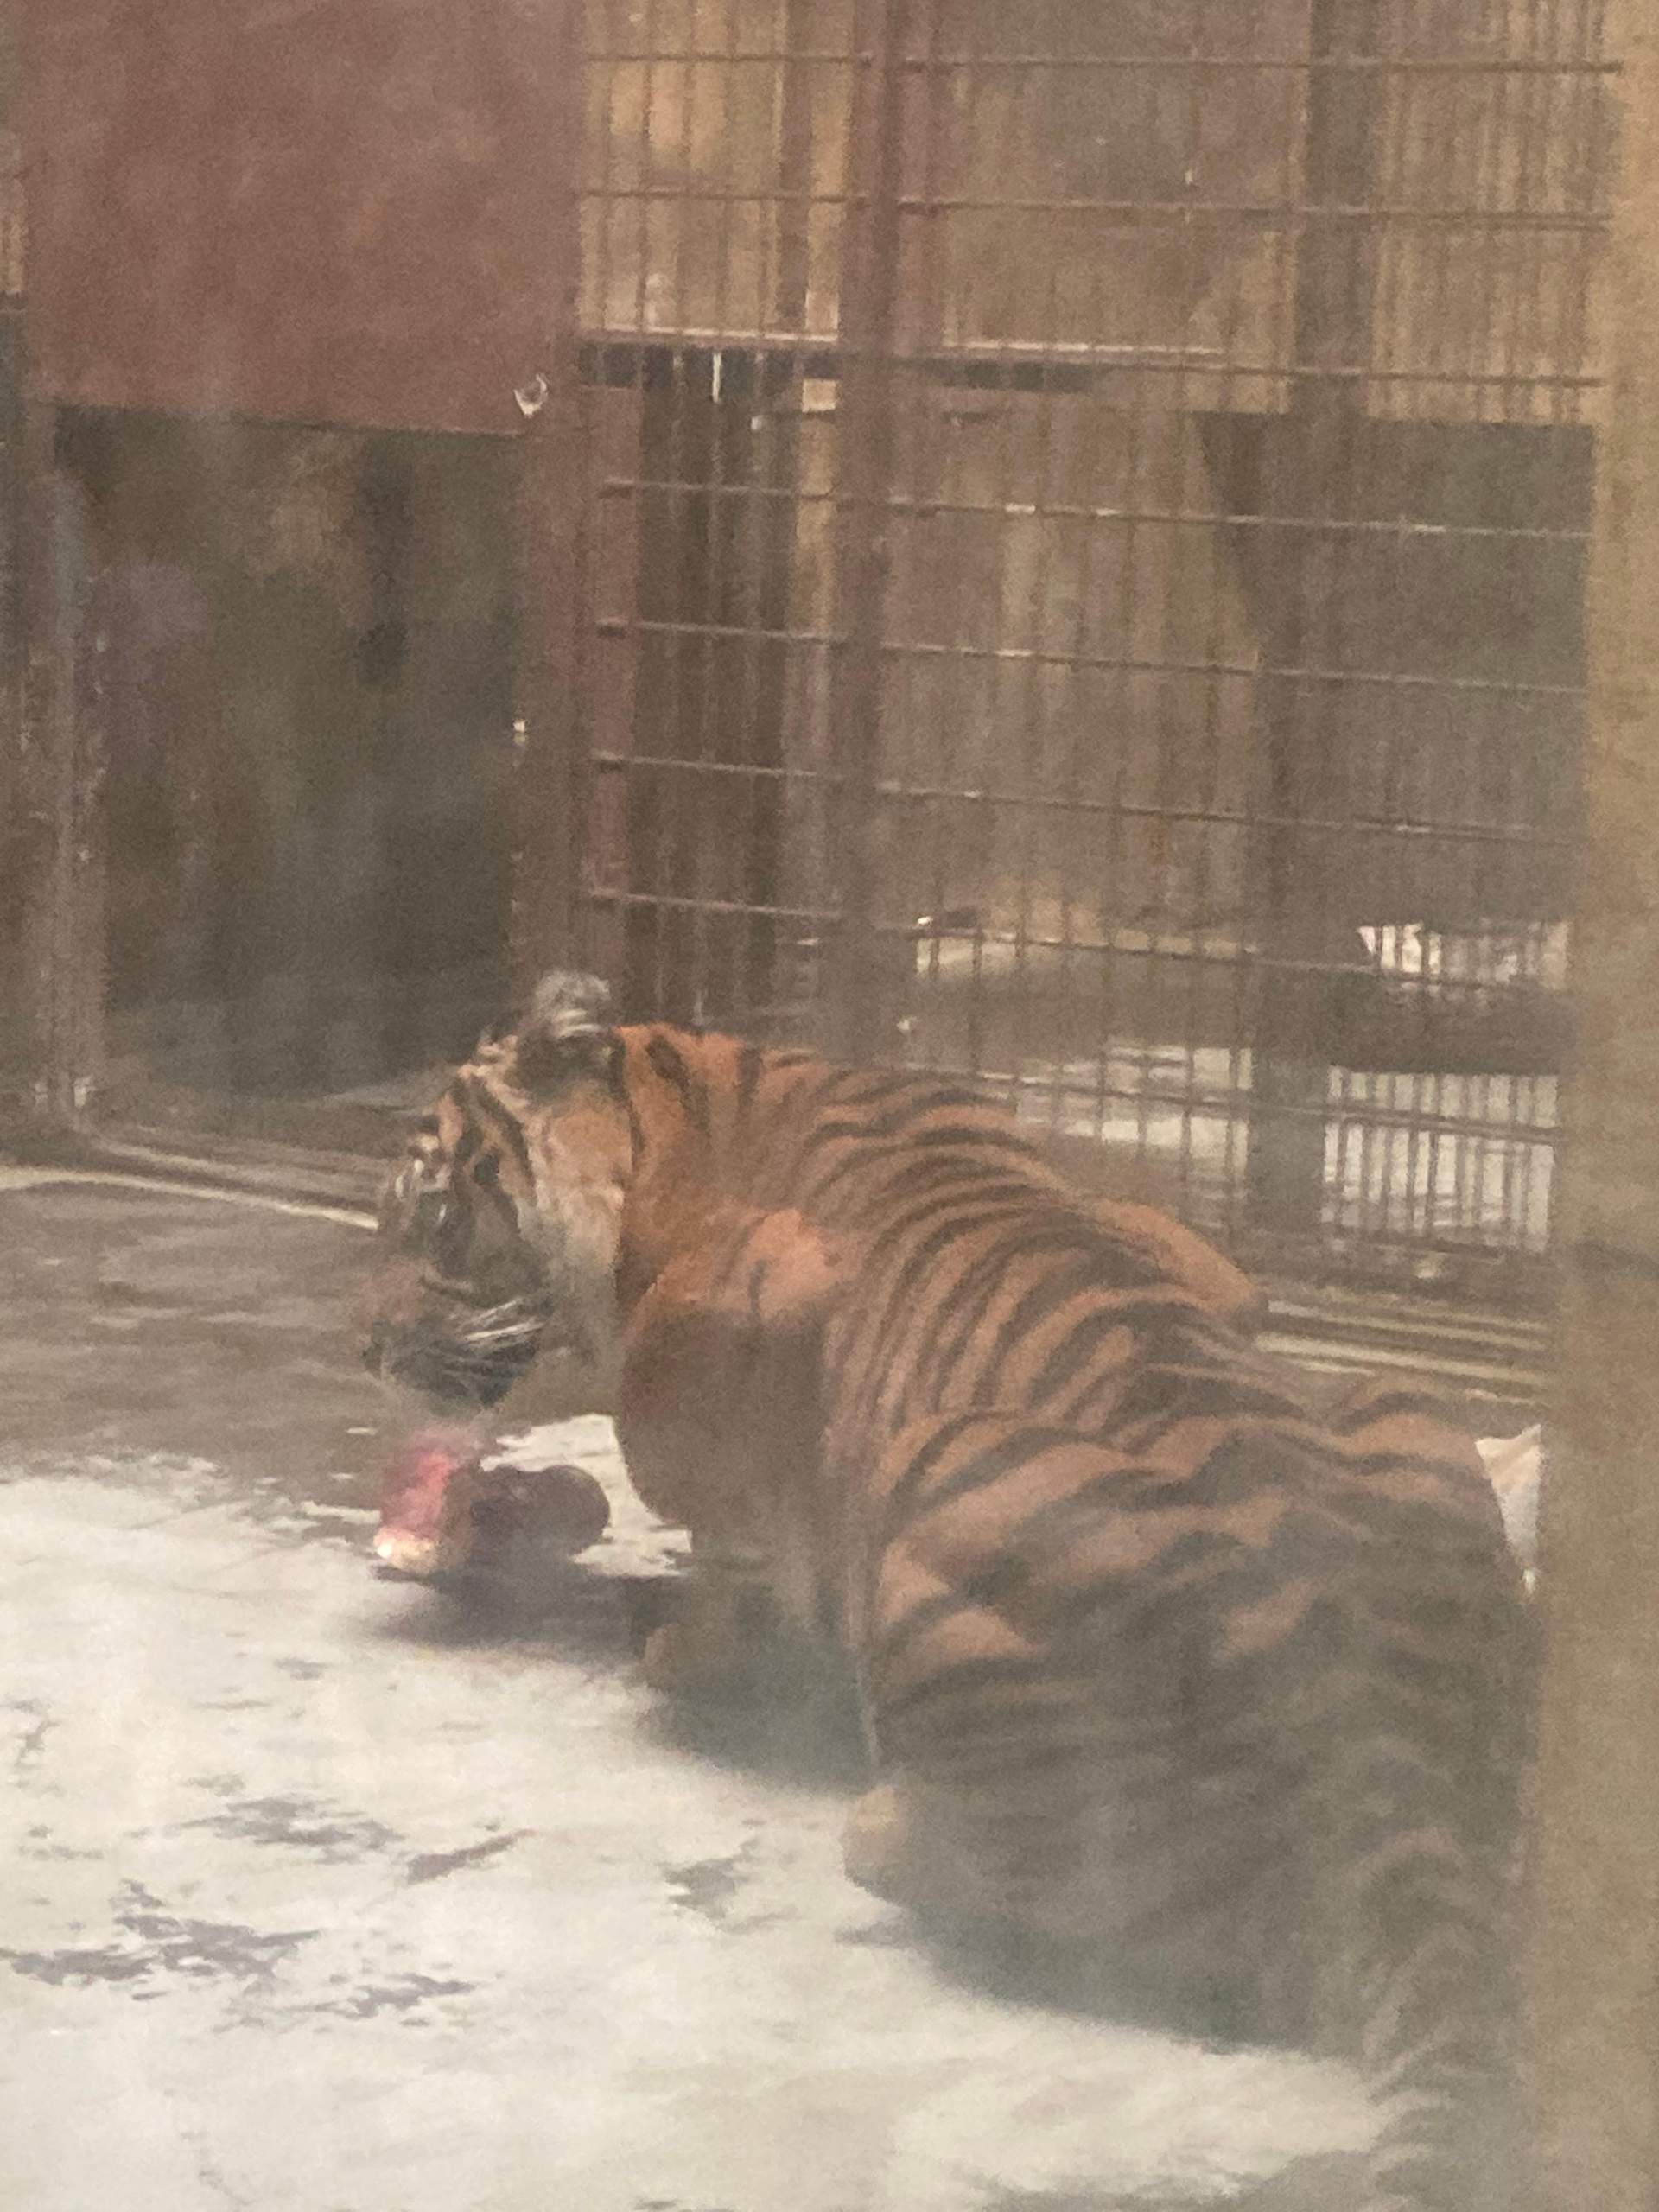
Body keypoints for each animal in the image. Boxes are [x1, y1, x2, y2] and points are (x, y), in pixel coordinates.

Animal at [362, 970, 1533, 2212]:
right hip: (1402, 1407)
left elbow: (697, 1487)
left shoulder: (759, 1284)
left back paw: (882, 1822)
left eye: (428, 1216)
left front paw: (682, 1634)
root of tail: (1390, 1779)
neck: (692, 1104)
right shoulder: (1194, 1259)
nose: (363, 1347)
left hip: (935, 1492)